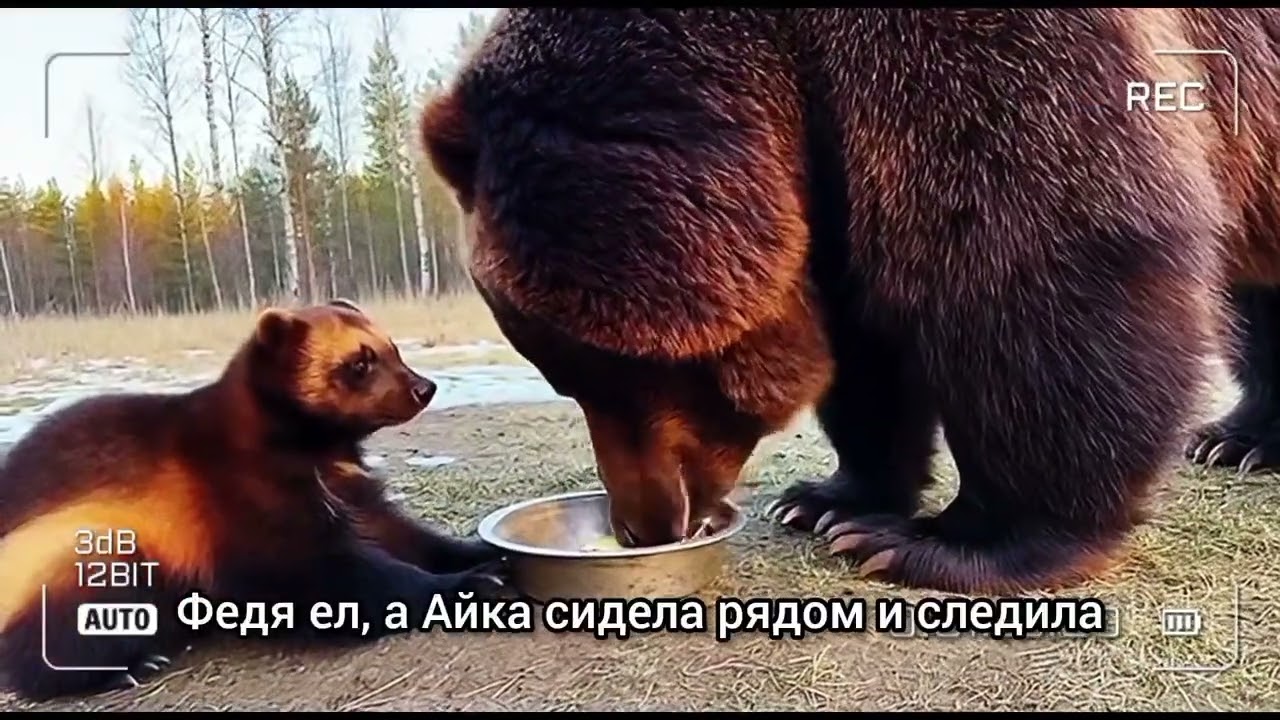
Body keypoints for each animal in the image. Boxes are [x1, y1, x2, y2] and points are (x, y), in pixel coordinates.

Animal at [0, 299, 505, 702]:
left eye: (392, 348)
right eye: (358, 364)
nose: (424, 387)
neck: (316, 452)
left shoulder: (350, 492)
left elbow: (404, 536)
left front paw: (480, 553)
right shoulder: (246, 499)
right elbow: (333, 575)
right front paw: (467, 585)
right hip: (85, 556)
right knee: (49, 647)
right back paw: (125, 668)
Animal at [418, 9, 1280, 595]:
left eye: (613, 373)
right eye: (566, 378)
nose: (643, 526)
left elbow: (1039, 257)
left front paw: (951, 540)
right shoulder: (829, 162)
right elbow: (866, 341)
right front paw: (828, 501)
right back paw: (1237, 437)